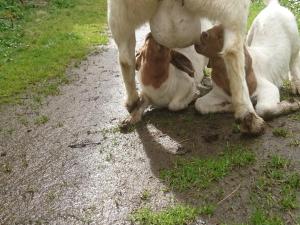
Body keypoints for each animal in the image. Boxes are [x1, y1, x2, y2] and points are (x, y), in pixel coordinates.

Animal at [108, 0, 264, 134]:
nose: (149, 36)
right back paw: (248, 117)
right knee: (233, 50)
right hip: (233, 10)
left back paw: (132, 103)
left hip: (120, 12)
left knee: (125, 58)